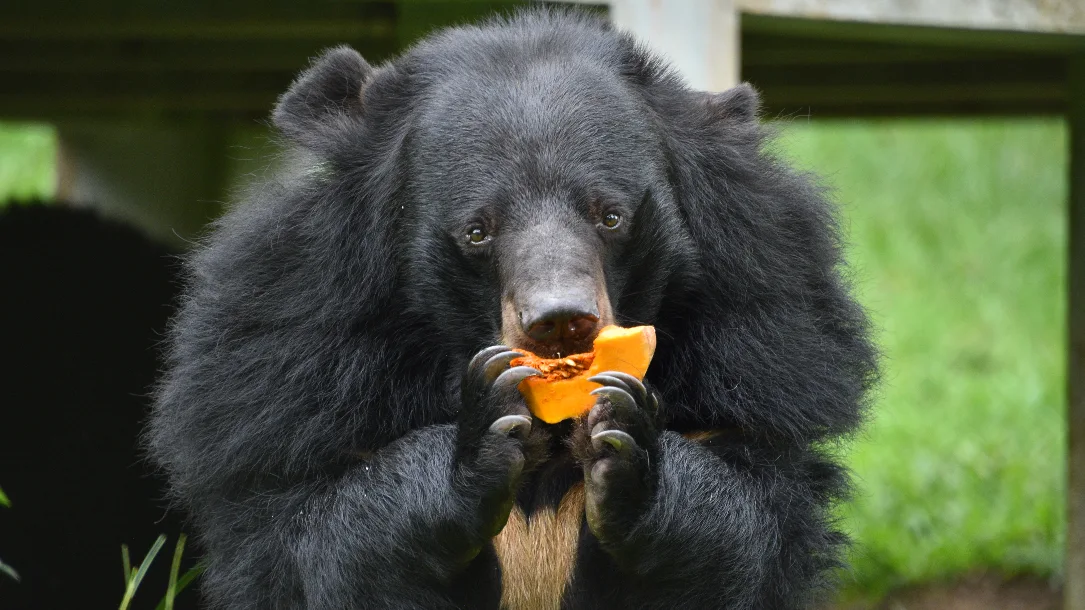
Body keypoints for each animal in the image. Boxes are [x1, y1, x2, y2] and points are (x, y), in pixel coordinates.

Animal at [149, 9, 878, 610]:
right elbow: (321, 534)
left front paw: (627, 444)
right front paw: (480, 438)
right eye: (478, 230)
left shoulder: (760, 341)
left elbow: (743, 521)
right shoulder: (290, 363)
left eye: (609, 215)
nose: (560, 319)